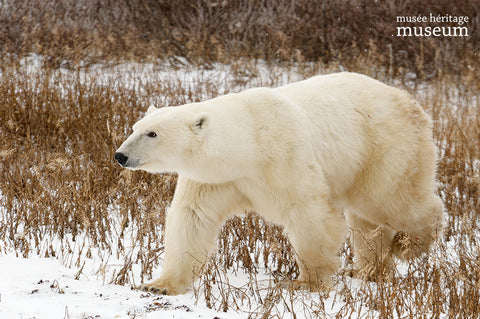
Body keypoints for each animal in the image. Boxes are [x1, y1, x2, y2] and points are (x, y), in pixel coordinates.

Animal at [115, 72, 442, 296]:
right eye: (135, 127)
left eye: (153, 133)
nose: (121, 155)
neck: (248, 143)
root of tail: (412, 103)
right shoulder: (218, 179)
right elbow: (193, 218)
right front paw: (158, 284)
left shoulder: (284, 155)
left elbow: (309, 212)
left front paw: (305, 281)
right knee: (369, 223)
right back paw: (370, 269)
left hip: (384, 148)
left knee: (391, 200)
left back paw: (408, 244)